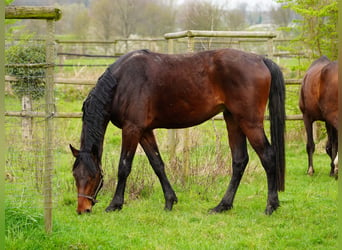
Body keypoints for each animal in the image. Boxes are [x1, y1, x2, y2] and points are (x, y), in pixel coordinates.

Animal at [70, 48, 286, 215]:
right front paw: (170, 201)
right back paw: (222, 206)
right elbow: (157, 164)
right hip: (232, 119)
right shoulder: (145, 131)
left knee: (268, 156)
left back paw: (271, 206)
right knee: (239, 161)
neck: (122, 82)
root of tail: (260, 59)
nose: (83, 209)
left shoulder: (132, 129)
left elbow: (124, 167)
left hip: (249, 122)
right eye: (75, 175)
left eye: (93, 176)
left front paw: (115, 204)